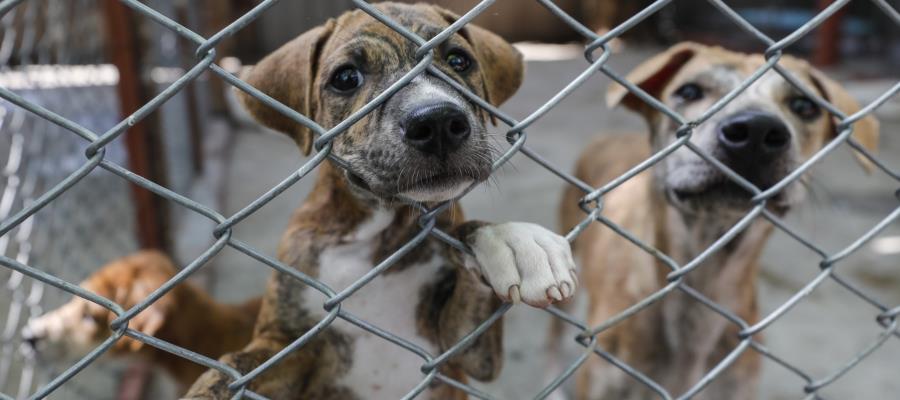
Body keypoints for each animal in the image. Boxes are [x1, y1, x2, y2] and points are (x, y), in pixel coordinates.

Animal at [187, 3, 576, 400]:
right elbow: (229, 369)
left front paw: (515, 242)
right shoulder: (283, 342)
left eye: (459, 60)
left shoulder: (469, 353)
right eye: (346, 78)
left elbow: (466, 239)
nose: (437, 121)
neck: (379, 236)